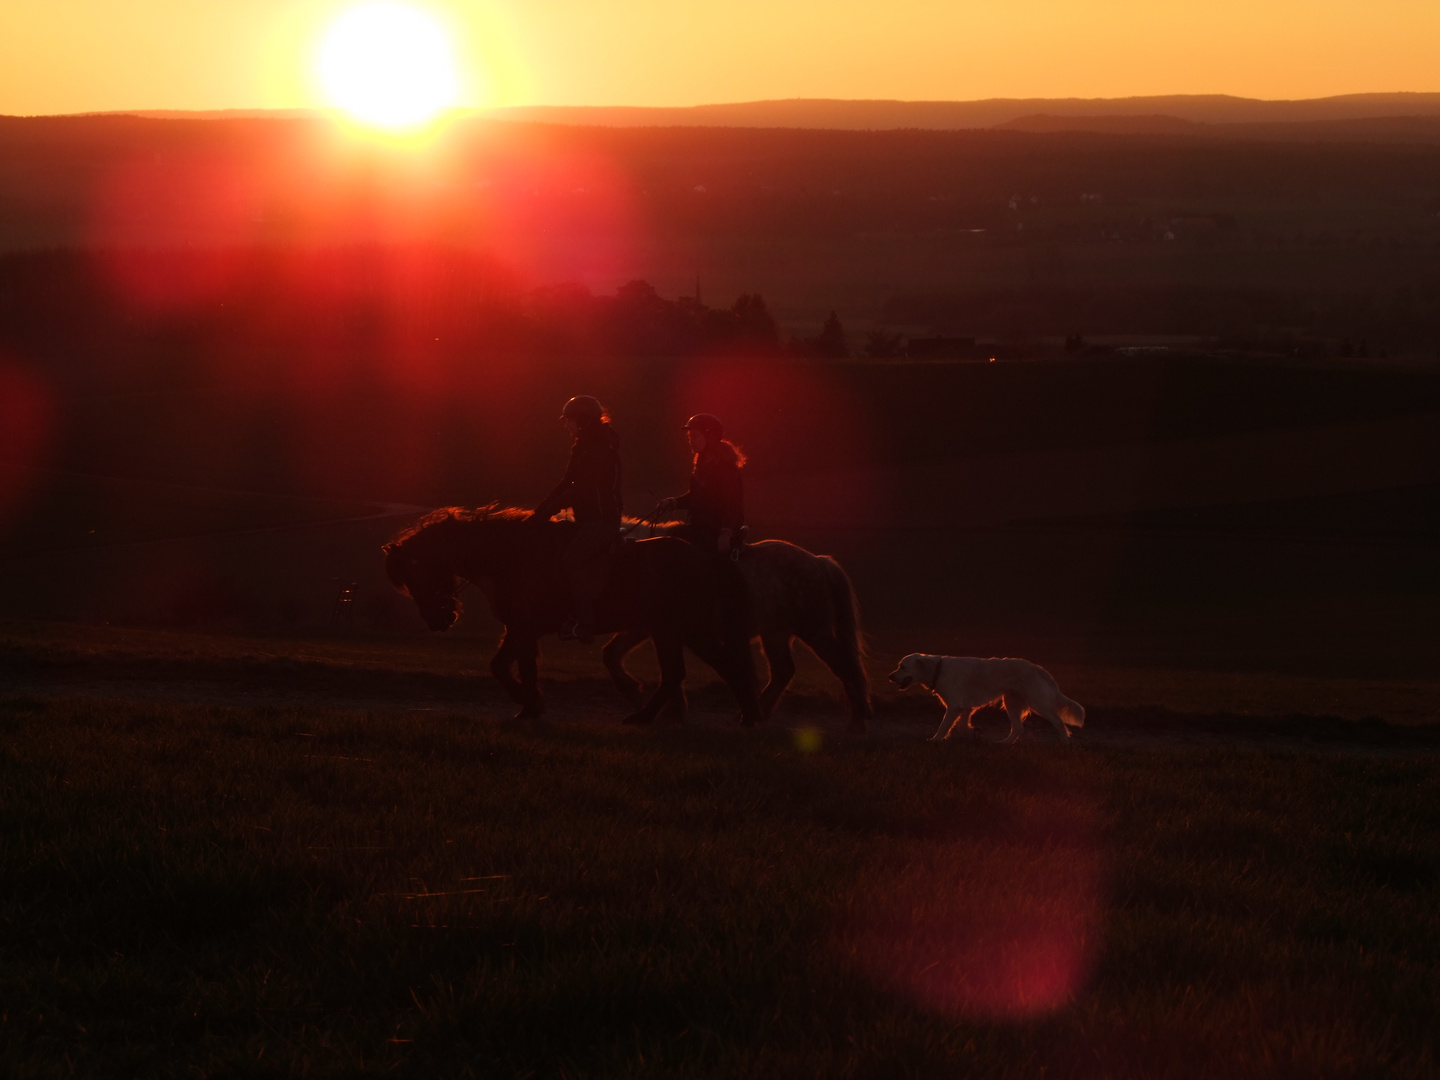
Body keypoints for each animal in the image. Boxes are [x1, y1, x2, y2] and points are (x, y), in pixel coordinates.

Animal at [383, 506, 766, 728]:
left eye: (416, 574)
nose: (437, 620)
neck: (511, 555)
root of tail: (704, 556)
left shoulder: (524, 628)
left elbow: (500, 666)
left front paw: (526, 701)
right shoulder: (522, 630)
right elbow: (522, 668)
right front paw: (530, 708)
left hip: (678, 630)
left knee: (696, 670)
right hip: (678, 631)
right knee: (702, 669)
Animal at [601, 521, 869, 737]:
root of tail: (818, 561)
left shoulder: (662, 629)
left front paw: (655, 707)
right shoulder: (649, 628)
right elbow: (612, 653)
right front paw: (651, 701)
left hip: (813, 630)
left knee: (845, 666)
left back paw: (857, 721)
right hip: (774, 634)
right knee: (783, 671)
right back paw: (753, 713)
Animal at [887, 656, 1082, 748]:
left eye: (902, 667)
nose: (890, 677)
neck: (938, 670)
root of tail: (1038, 668)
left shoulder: (955, 706)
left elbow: (943, 726)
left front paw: (934, 740)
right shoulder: (965, 707)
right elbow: (962, 726)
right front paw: (975, 732)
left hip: (1037, 702)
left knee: (1058, 721)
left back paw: (1065, 742)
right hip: (1011, 702)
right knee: (1018, 728)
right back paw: (1003, 743)